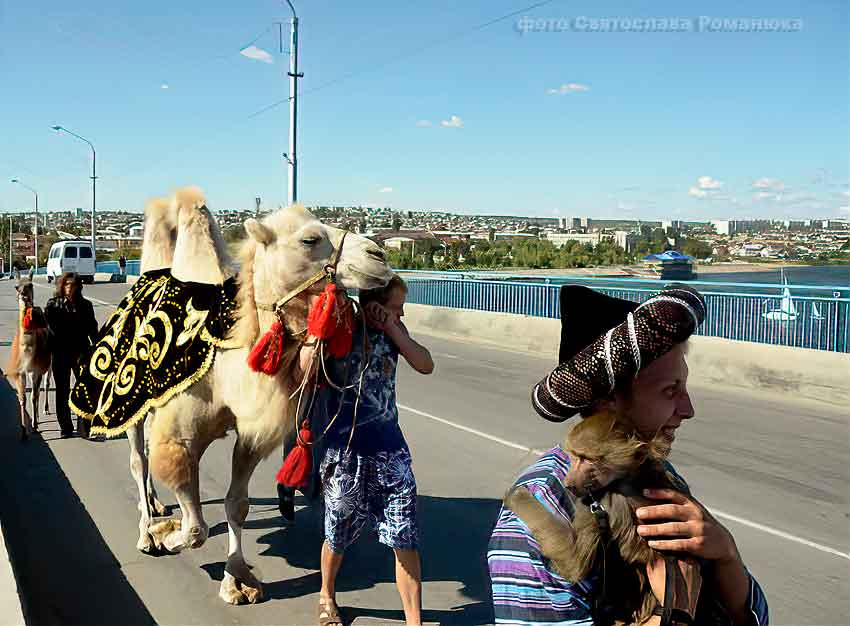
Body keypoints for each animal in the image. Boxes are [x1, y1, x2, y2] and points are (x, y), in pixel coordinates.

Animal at [6, 268, 51, 438]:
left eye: (30, 284)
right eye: (16, 285)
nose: (22, 294)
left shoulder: (36, 369)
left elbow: (33, 396)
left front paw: (35, 426)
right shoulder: (21, 372)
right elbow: (23, 398)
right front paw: (24, 431)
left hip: (49, 364)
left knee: (45, 385)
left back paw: (45, 410)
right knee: (35, 391)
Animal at [117, 188, 390, 604]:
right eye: (310, 239)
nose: (379, 257)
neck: (224, 366)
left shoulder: (249, 435)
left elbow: (237, 504)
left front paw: (238, 580)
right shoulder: (178, 436)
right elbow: (195, 529)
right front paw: (166, 535)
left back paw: (156, 507)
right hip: (131, 408)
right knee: (138, 460)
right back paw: (147, 529)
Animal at [506, 410, 700, 624]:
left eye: (587, 459)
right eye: (575, 456)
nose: (569, 484)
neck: (631, 477)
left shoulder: (603, 502)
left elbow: (574, 564)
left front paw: (516, 496)